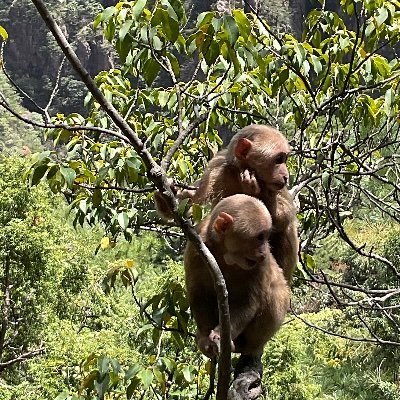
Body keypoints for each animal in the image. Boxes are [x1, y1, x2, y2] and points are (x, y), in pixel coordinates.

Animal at [183, 194, 290, 376]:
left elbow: (247, 302)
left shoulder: (260, 266)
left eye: (266, 237)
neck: (227, 255)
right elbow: (198, 294)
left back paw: (246, 347)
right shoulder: (197, 248)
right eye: (259, 237)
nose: (263, 252)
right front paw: (205, 338)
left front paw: (219, 336)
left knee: (275, 293)